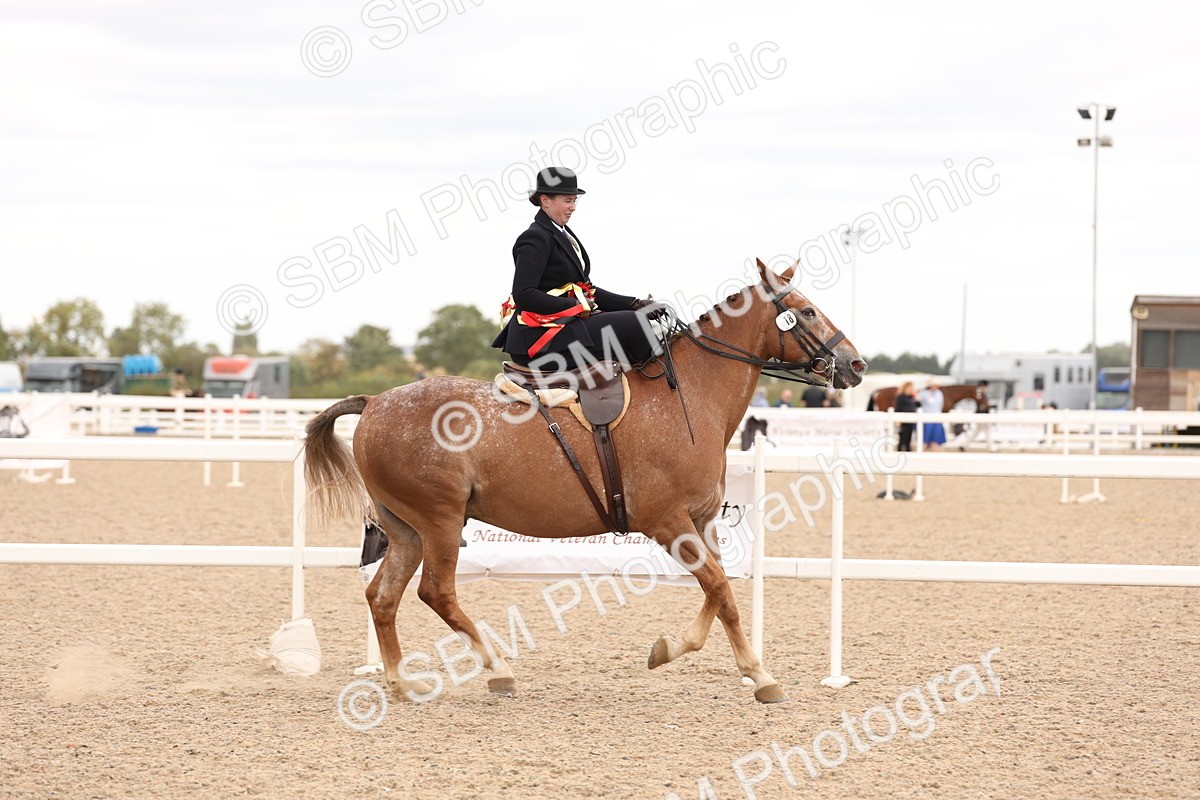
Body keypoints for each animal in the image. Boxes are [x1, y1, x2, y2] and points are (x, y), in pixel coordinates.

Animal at [303, 260, 867, 704]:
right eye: (807, 311)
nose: (856, 365)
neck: (691, 395)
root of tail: (375, 402)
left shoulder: (702, 521)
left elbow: (719, 593)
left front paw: (703, 659)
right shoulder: (667, 522)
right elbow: (719, 588)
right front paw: (739, 669)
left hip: (407, 530)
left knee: (383, 596)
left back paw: (402, 684)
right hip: (439, 522)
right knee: (436, 593)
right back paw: (499, 671)